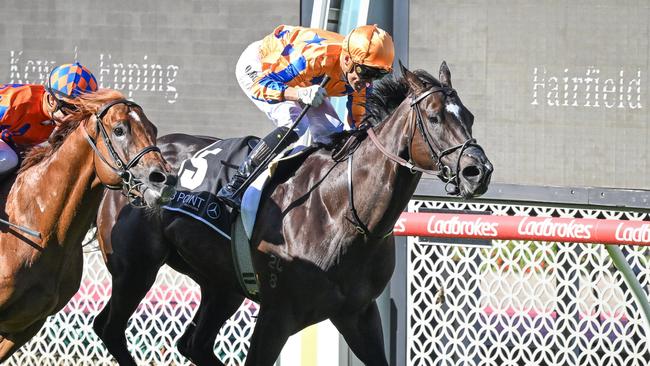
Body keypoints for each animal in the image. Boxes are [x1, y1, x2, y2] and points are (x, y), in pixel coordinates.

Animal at [93, 62, 492, 364]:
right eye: (434, 117)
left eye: (470, 116)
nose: (478, 171)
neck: (343, 212)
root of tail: (125, 165)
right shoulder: (277, 315)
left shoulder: (358, 314)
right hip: (136, 268)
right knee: (109, 329)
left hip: (220, 284)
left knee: (194, 344)